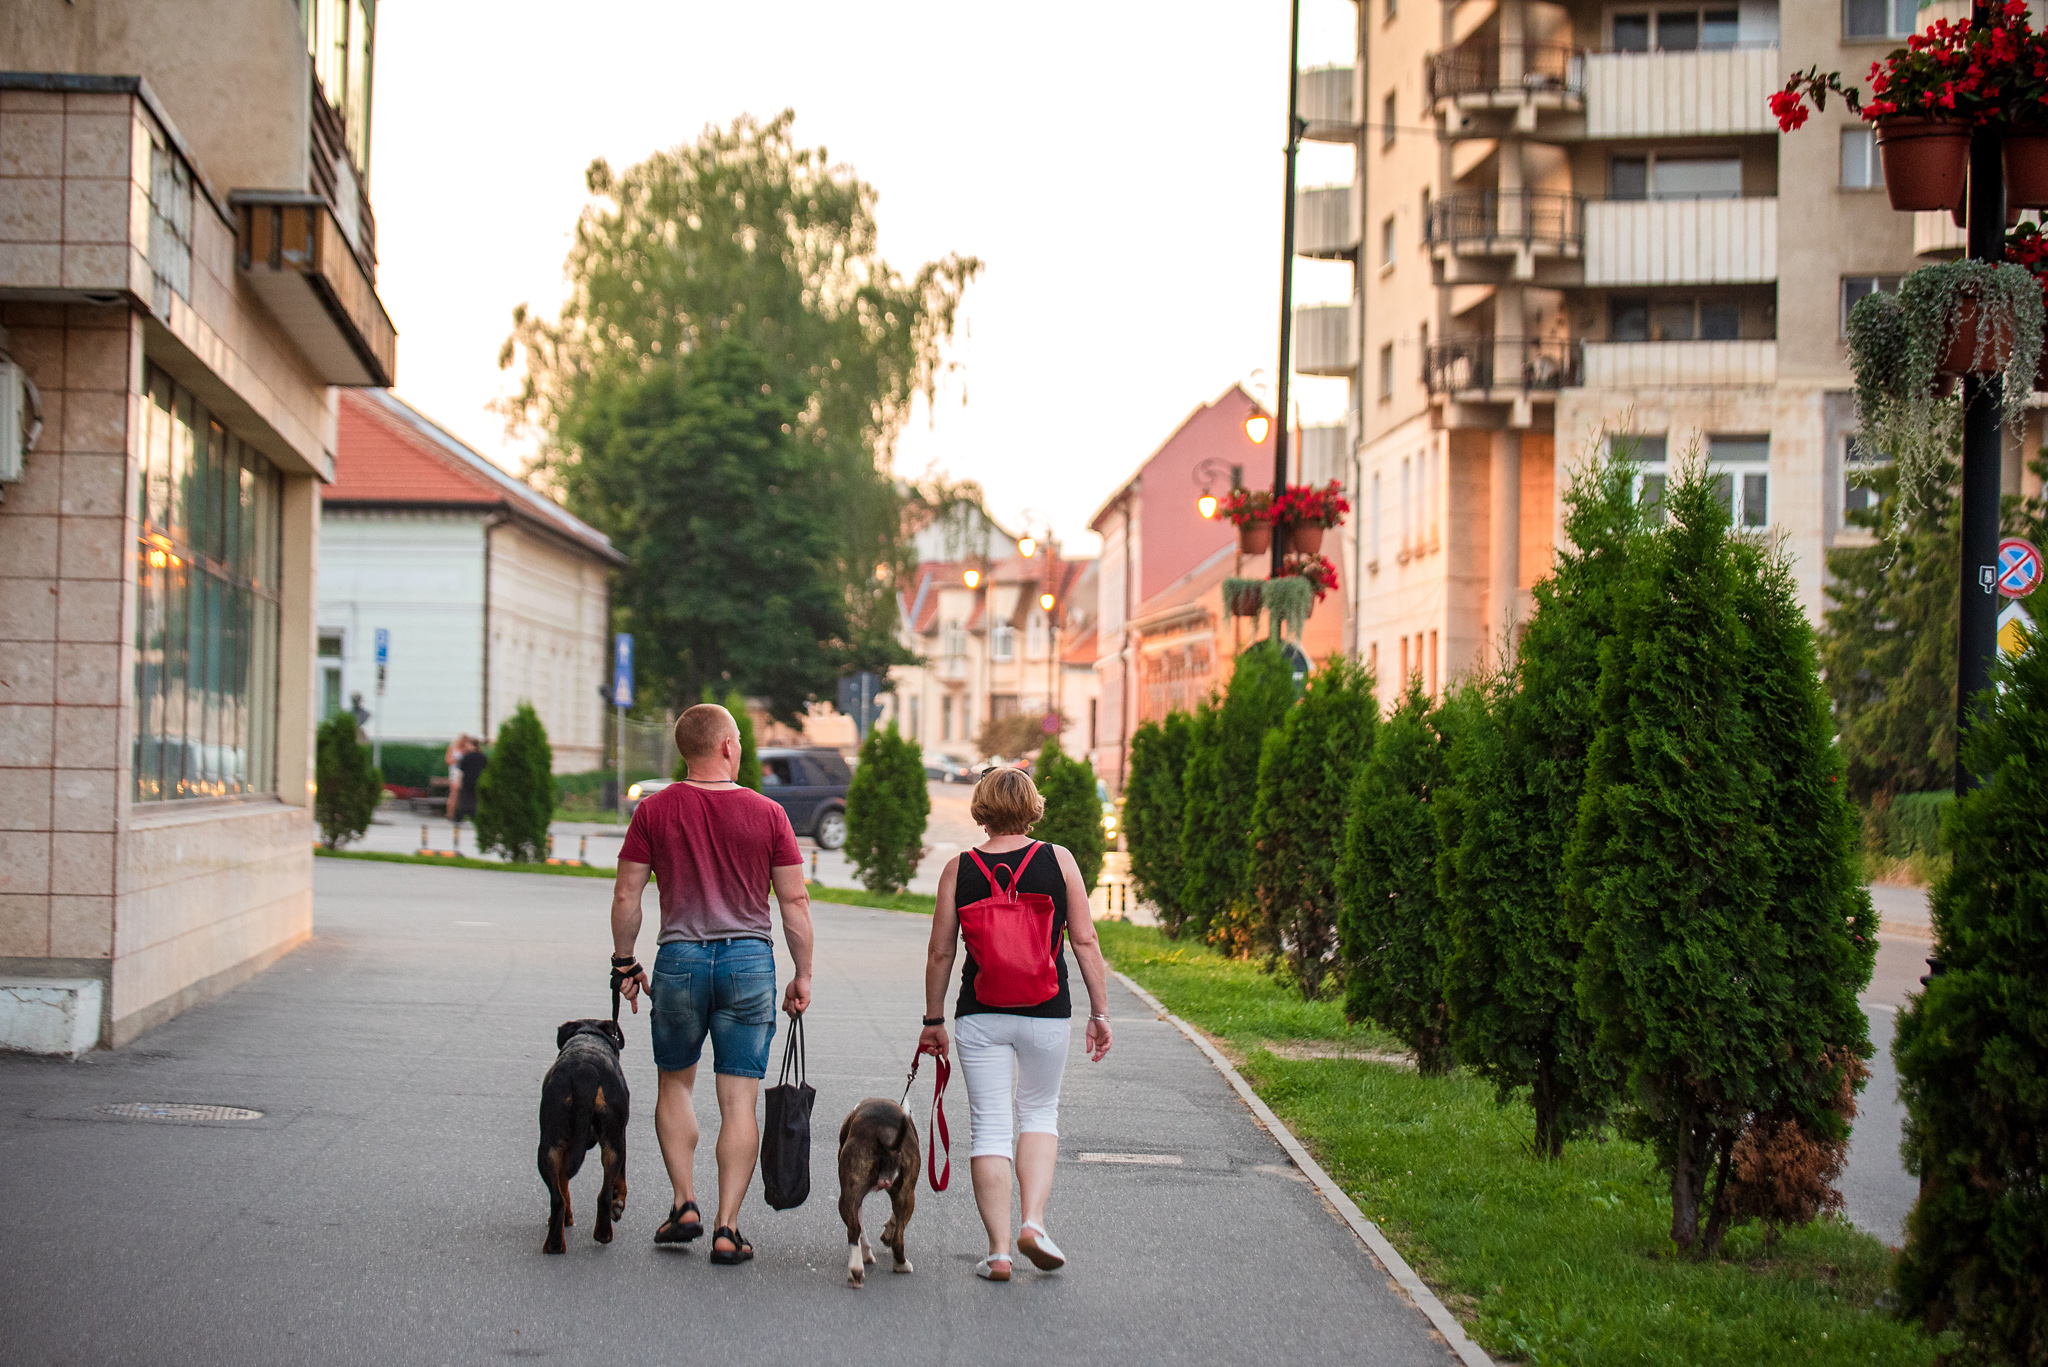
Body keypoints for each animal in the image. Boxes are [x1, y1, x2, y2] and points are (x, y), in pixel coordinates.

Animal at [536, 1020, 622, 1254]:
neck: (588, 1036)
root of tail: (586, 1073)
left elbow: (563, 1183)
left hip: (550, 1145)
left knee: (559, 1197)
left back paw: (557, 1243)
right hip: (614, 1142)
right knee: (601, 1193)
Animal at [835, 1098, 925, 1287]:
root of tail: (885, 1131)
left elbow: (861, 1225)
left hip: (850, 1194)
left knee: (854, 1229)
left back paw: (857, 1269)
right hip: (907, 1194)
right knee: (897, 1238)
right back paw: (901, 1265)